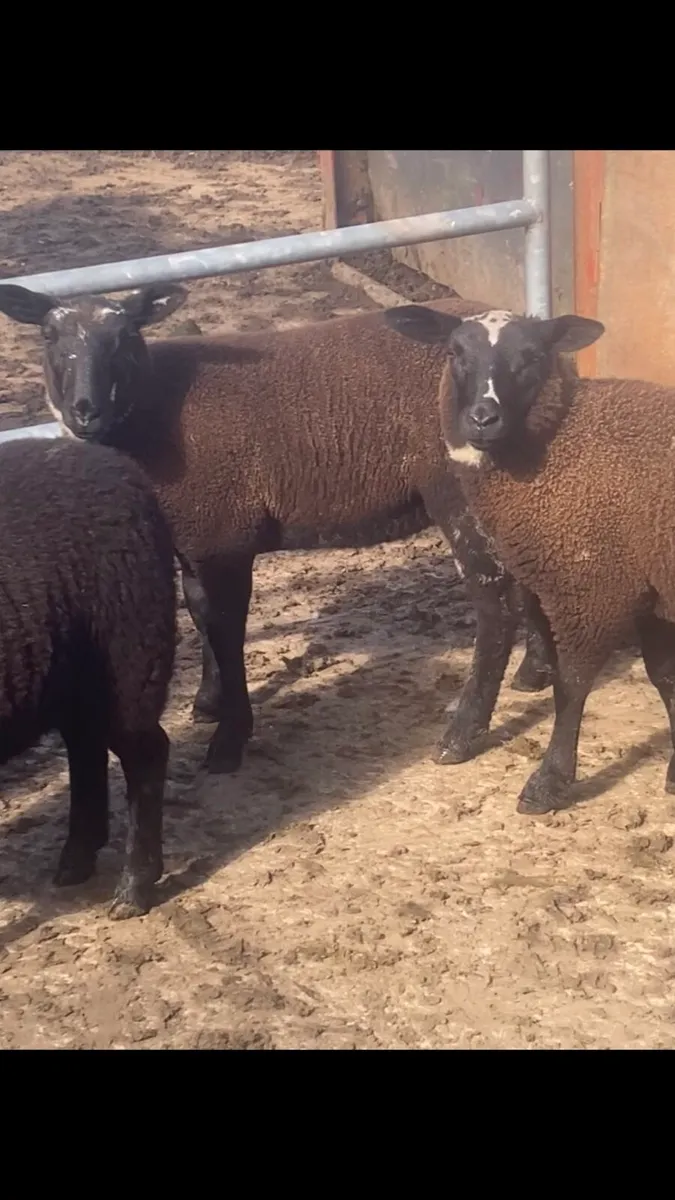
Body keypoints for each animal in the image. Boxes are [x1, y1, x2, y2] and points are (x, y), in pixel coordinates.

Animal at [0, 282, 555, 777]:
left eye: (124, 336)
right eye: (49, 334)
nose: (85, 410)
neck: (156, 412)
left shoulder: (223, 536)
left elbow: (226, 630)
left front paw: (229, 740)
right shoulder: (196, 541)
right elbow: (201, 616)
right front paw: (208, 702)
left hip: (457, 491)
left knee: (494, 603)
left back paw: (462, 735)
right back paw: (536, 672)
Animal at [0, 436, 176, 918]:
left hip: (129, 665)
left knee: (145, 758)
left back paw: (134, 888)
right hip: (76, 684)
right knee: (86, 751)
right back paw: (77, 858)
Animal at [378, 300, 675, 815]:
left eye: (531, 357)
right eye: (455, 352)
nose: (483, 417)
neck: (561, 441)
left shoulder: (591, 589)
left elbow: (571, 684)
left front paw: (549, 782)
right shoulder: (644, 584)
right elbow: (665, 678)